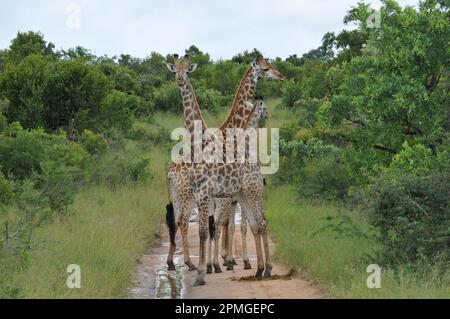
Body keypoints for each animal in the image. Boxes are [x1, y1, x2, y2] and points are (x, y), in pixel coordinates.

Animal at [165, 55, 284, 288]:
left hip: (240, 193)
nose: (282, 76)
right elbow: (214, 228)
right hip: (190, 196)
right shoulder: (216, 196)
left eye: (188, 71)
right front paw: (218, 264)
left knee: (258, 222)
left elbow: (219, 227)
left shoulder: (219, 196)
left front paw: (217, 265)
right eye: (265, 68)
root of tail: (170, 172)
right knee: (182, 221)